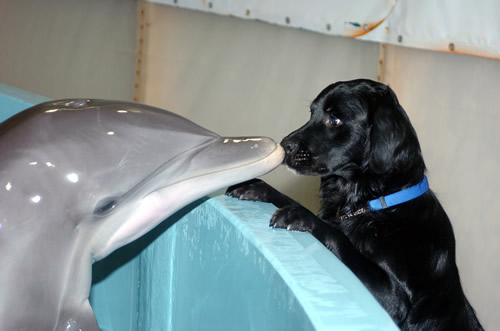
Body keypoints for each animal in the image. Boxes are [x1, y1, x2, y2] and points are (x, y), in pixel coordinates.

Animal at [228, 79, 484, 330]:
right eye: (312, 113)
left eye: (335, 119)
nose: (284, 145)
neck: (378, 207)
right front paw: (257, 187)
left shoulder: (393, 299)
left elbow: (338, 236)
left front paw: (300, 216)